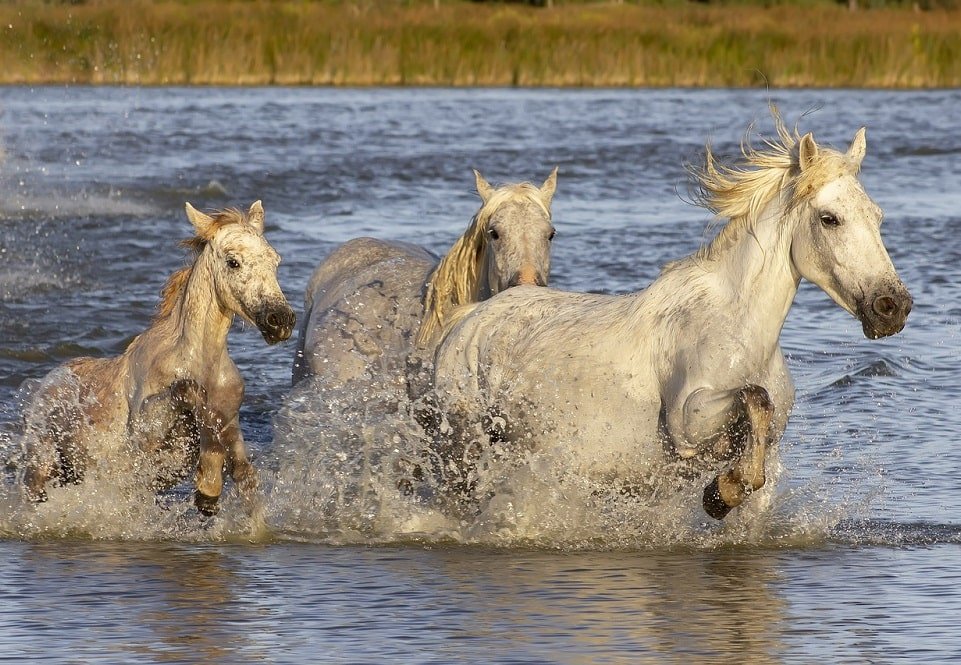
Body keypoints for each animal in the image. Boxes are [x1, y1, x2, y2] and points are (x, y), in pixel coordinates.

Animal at [22, 198, 296, 512]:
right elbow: (187, 392)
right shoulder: (146, 433)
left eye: (275, 260)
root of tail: (44, 384)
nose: (281, 320)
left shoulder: (231, 423)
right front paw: (207, 486)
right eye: (233, 261)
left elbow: (244, 474)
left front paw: (210, 489)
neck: (199, 362)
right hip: (40, 468)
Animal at [432, 113, 912, 520]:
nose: (892, 306)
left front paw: (722, 491)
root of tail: (469, 318)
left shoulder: (768, 451)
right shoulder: (688, 422)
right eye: (830, 219)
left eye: (877, 216)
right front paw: (720, 494)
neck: (742, 332)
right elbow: (755, 396)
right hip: (464, 452)